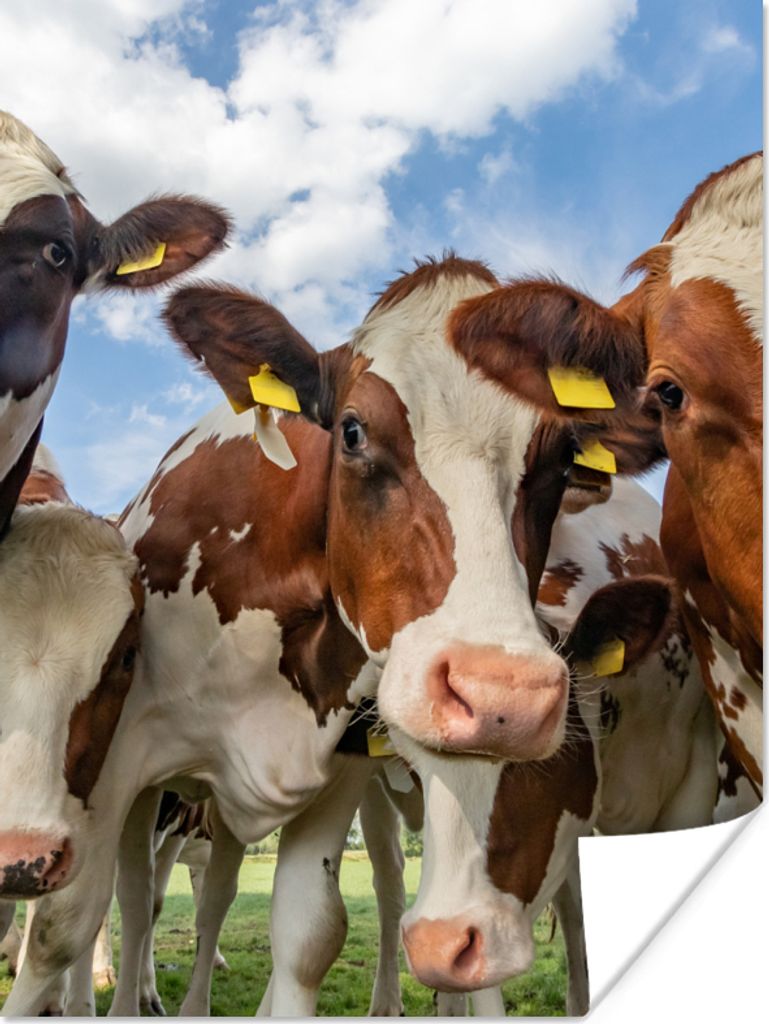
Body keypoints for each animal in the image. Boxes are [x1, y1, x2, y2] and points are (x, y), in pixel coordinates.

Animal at [3, 254, 667, 1016]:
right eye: (351, 431)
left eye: (561, 460)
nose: (505, 696)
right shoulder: (111, 766)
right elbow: (64, 925)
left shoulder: (339, 775)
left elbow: (309, 933)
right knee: (139, 901)